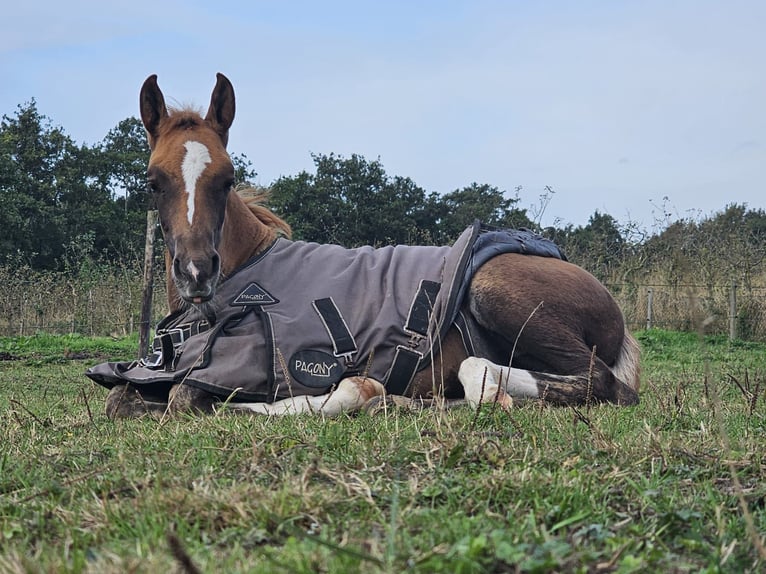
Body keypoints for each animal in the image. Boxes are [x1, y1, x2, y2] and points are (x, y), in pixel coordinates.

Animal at [85, 75, 640, 418]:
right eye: (153, 182)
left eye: (228, 178)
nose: (197, 272)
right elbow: (122, 400)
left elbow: (186, 398)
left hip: (496, 290)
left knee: (599, 382)